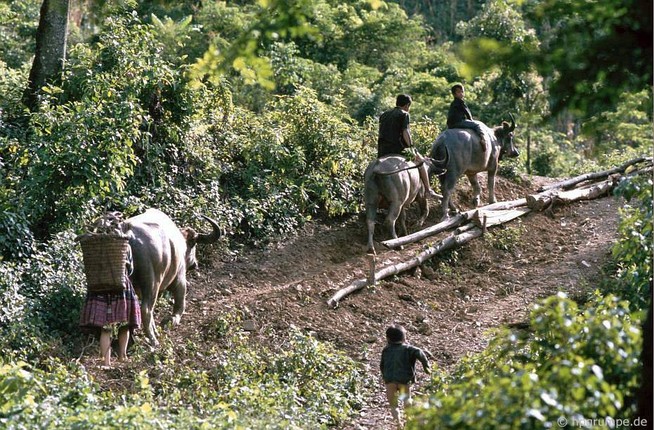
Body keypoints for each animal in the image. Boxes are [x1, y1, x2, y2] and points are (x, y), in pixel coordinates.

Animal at [123, 208, 223, 346]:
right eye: (193, 244)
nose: (195, 264)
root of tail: (129, 234)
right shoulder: (179, 279)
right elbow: (180, 304)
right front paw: (171, 320)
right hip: (152, 283)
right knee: (146, 310)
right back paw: (153, 340)